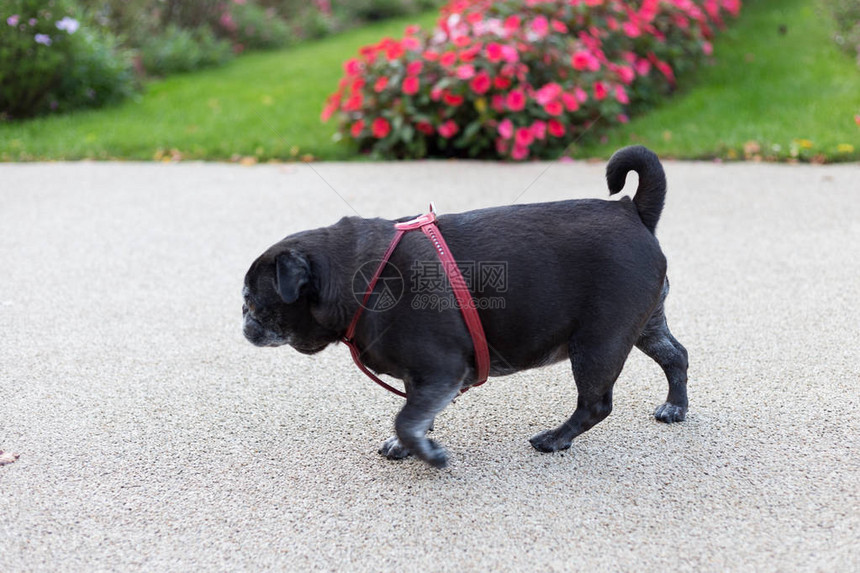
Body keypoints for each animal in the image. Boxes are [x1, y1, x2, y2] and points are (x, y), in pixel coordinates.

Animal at [242, 145, 684, 466]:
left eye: (250, 301)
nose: (242, 324)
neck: (360, 276)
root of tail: (633, 211)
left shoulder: (441, 368)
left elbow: (407, 418)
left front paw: (427, 454)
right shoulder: (425, 378)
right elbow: (416, 412)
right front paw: (410, 446)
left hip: (598, 343)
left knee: (595, 404)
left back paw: (555, 439)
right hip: (644, 326)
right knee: (675, 356)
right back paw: (676, 407)